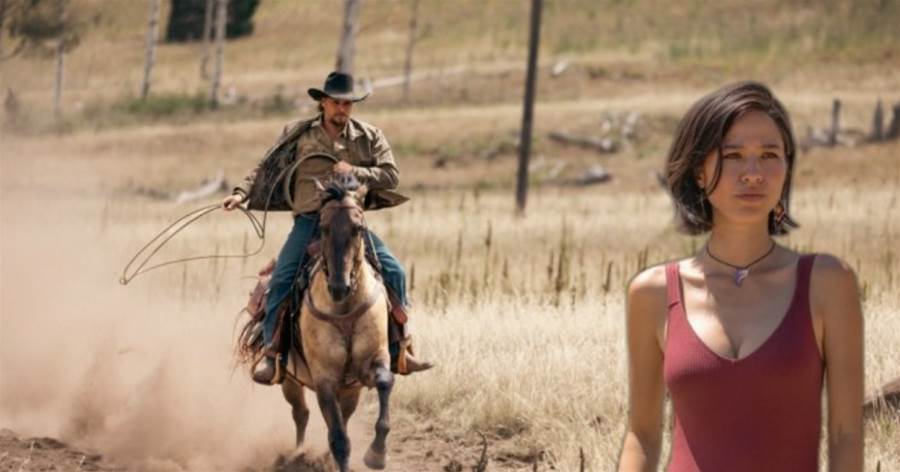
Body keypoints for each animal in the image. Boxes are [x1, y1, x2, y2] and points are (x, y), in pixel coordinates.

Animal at [279, 176, 394, 472]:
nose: (339, 287)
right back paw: (297, 454)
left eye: (358, 228)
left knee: (341, 413)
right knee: (301, 413)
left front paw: (377, 453)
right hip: (291, 380)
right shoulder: (325, 380)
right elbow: (340, 440)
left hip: (350, 388)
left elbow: (385, 381)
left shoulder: (372, 360)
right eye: (323, 227)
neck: (344, 309)